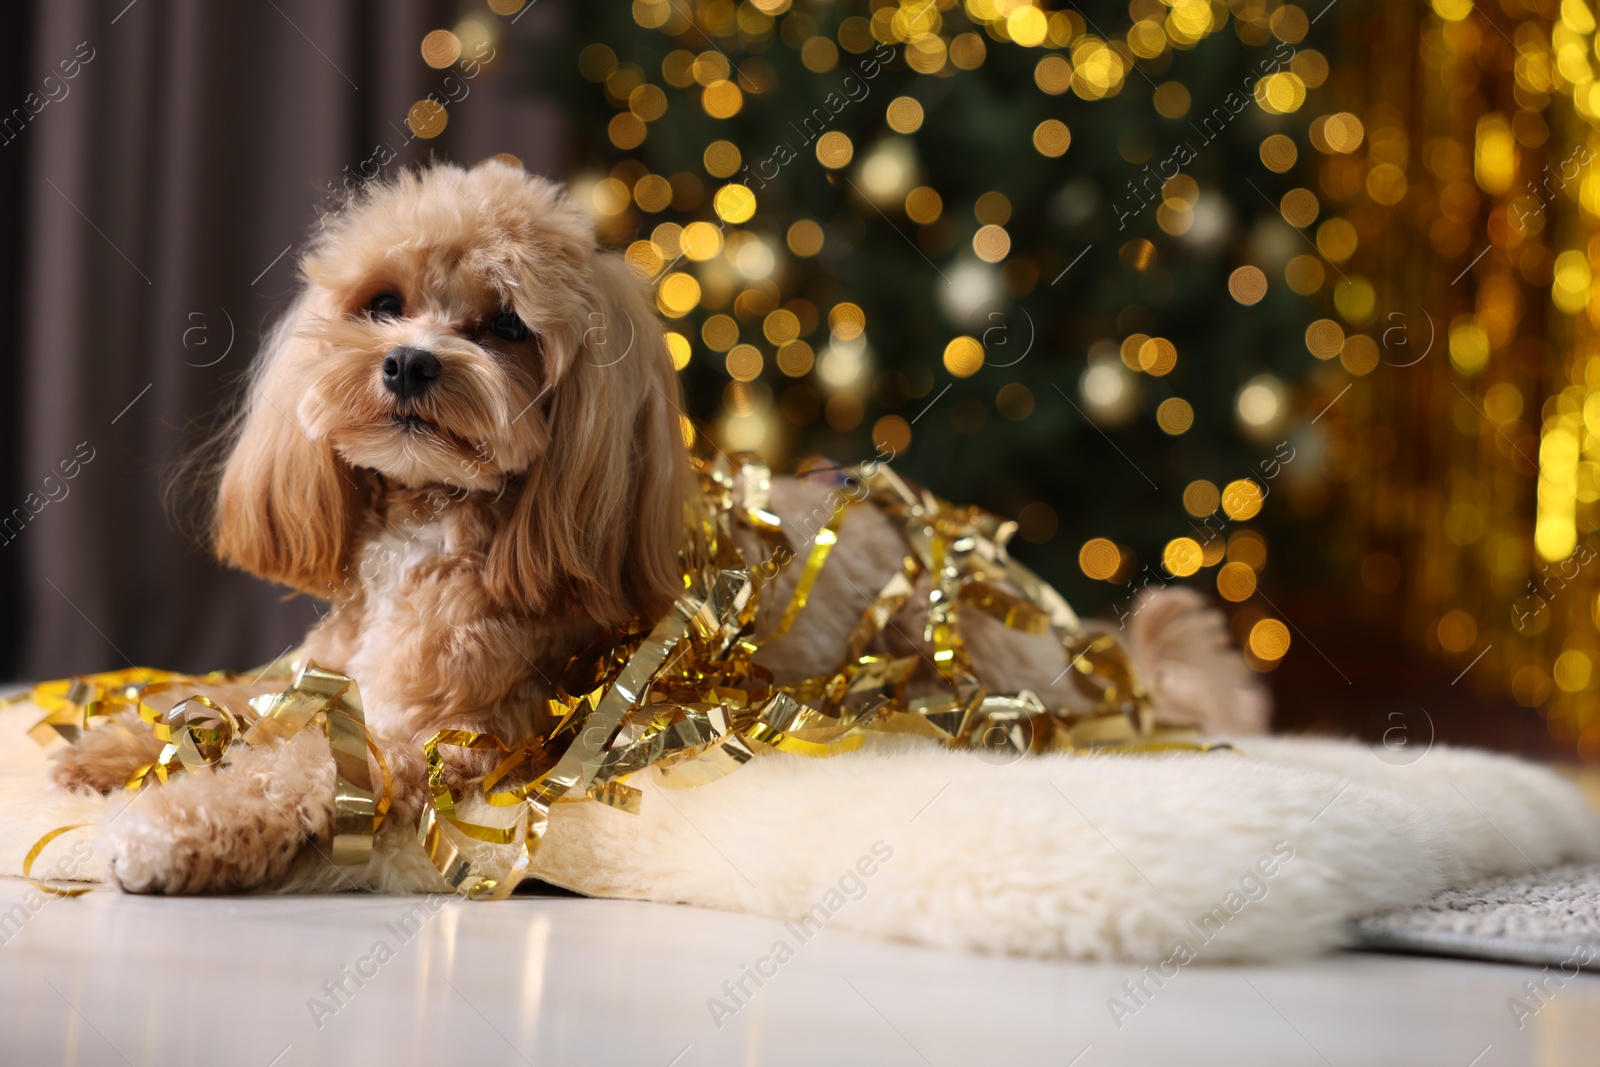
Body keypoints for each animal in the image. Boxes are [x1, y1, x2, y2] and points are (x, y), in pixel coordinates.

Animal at [50, 158, 1267, 895]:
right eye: (381, 304)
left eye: (503, 327)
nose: (410, 364)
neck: (430, 529)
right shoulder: (326, 668)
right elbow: (222, 698)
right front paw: (110, 744)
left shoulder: (434, 736)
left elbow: (290, 766)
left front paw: (165, 828)